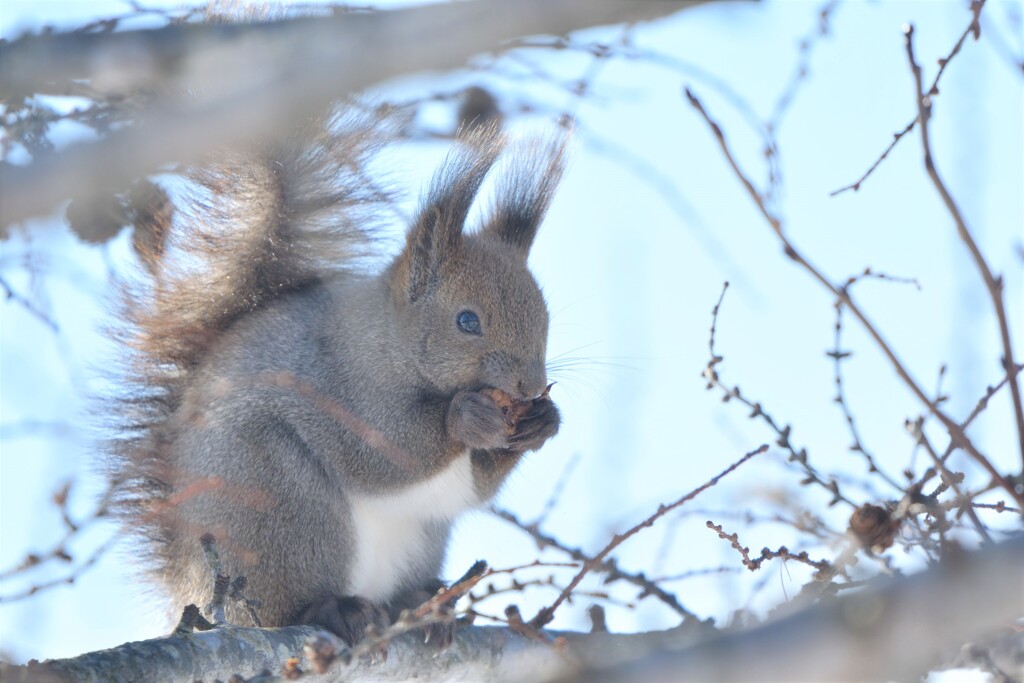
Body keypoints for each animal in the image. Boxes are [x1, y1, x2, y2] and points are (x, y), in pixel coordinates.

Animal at [110, 111, 569, 647]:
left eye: (546, 317)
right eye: (467, 321)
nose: (530, 388)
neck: (389, 343)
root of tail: (187, 585)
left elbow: (475, 489)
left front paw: (543, 422)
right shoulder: (336, 385)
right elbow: (383, 452)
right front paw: (466, 418)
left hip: (419, 539)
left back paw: (423, 605)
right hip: (279, 504)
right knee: (281, 603)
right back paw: (334, 609)